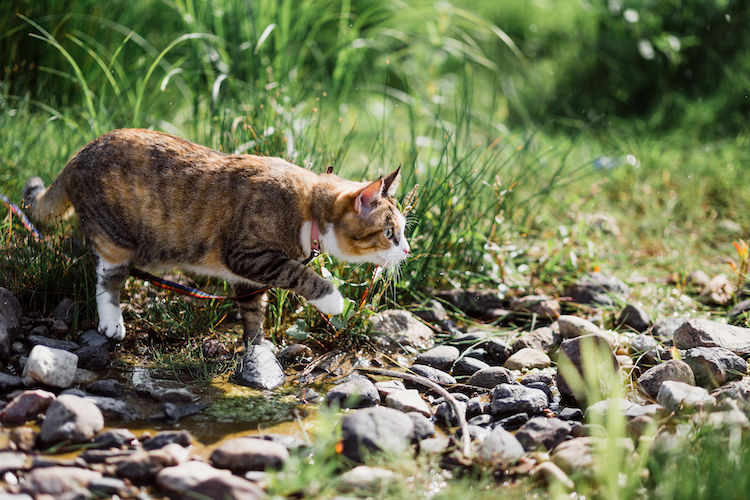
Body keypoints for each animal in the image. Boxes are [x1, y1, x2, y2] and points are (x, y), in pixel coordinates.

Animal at [25, 129, 412, 346]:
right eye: (390, 232)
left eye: (403, 231)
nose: (408, 251)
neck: (308, 210)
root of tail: (80, 153)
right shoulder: (249, 255)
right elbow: (299, 273)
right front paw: (333, 300)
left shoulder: (249, 275)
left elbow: (254, 310)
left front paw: (257, 347)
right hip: (115, 237)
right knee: (108, 279)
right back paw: (112, 321)